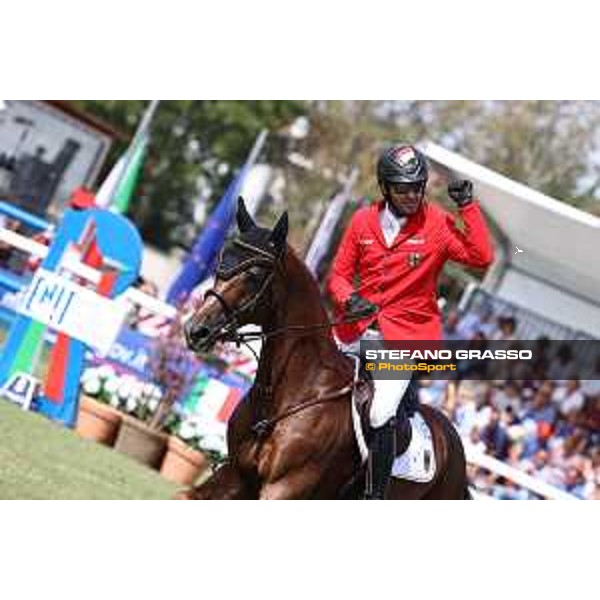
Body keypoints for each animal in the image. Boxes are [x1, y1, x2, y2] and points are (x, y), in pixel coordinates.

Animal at [178, 199, 468, 500]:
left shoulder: (284, 488)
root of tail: (453, 441)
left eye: (254, 275)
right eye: (222, 261)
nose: (196, 331)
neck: (285, 395)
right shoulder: (235, 475)